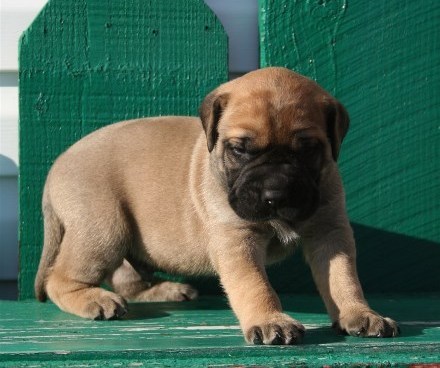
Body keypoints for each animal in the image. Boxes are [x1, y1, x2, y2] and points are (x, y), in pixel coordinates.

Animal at [34, 67, 398, 344]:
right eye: (240, 149)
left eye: (308, 150)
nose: (275, 193)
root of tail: (57, 166)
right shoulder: (237, 240)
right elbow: (255, 285)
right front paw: (270, 319)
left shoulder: (329, 232)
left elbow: (342, 277)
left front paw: (360, 313)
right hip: (104, 228)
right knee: (59, 280)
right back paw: (93, 298)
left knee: (128, 279)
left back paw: (163, 289)